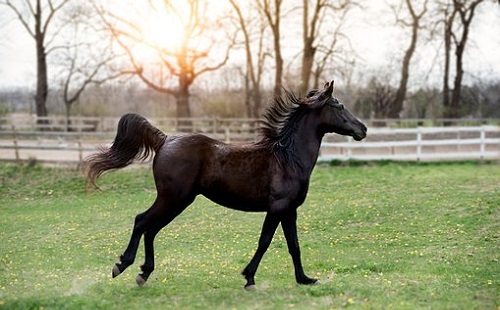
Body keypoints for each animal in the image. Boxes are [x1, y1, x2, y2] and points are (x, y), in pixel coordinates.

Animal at [84, 81, 368, 290]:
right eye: (339, 105)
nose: (363, 129)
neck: (289, 158)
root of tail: (164, 140)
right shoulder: (277, 207)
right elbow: (265, 241)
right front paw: (249, 278)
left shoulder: (290, 210)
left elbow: (293, 245)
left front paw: (305, 279)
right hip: (173, 198)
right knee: (142, 221)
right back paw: (122, 266)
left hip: (176, 201)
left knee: (151, 228)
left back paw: (143, 273)